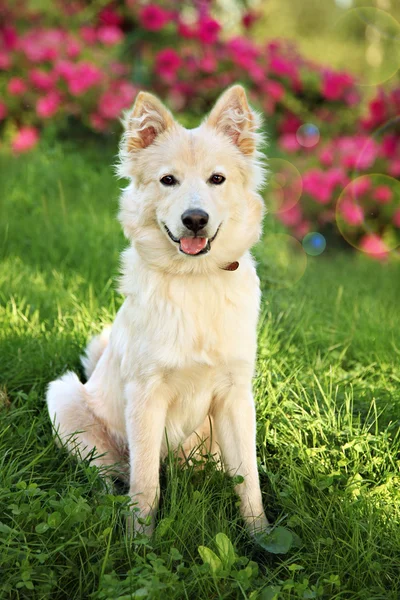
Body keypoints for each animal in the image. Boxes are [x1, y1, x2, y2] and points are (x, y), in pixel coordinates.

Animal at [47, 83, 270, 536]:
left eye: (217, 179)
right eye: (168, 180)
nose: (195, 219)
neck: (195, 278)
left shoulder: (235, 397)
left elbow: (249, 482)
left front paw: (261, 538)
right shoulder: (146, 396)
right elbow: (146, 484)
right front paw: (138, 541)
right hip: (63, 399)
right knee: (112, 475)